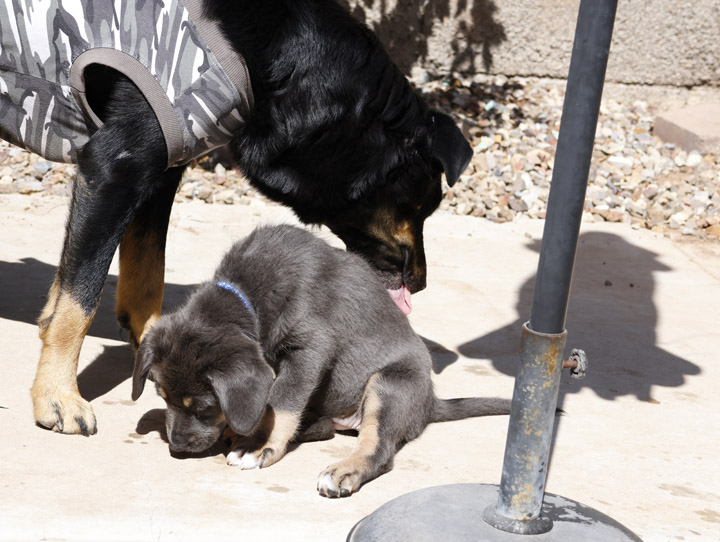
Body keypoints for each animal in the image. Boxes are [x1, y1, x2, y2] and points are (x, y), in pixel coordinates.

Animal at [4, 0, 472, 434]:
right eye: (420, 208)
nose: (420, 283)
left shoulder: (161, 170)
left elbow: (146, 275)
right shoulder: (114, 167)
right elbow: (79, 300)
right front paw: (58, 396)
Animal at [131, 224, 512, 498]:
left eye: (204, 408)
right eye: (162, 398)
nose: (177, 447)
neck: (248, 295)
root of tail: (430, 403)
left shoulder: (310, 349)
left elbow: (281, 402)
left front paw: (259, 445)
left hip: (390, 384)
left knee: (378, 447)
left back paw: (344, 470)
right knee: (326, 427)